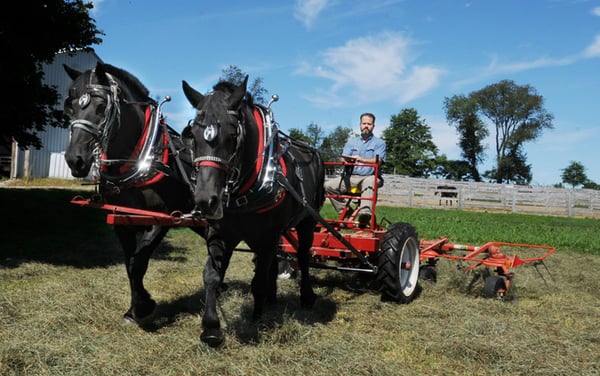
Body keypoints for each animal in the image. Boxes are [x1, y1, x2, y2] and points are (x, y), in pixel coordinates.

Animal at [64, 61, 202, 324]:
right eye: (70, 106)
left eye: (101, 106)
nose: (75, 160)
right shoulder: (122, 220)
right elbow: (130, 265)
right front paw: (133, 310)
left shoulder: (163, 218)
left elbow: (139, 263)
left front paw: (144, 307)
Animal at [182, 75, 326, 346]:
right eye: (193, 136)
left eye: (232, 136)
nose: (206, 200)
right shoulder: (221, 233)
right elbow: (212, 275)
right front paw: (211, 327)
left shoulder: (267, 236)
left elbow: (257, 280)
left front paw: (257, 317)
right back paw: (272, 296)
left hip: (307, 222)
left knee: (302, 255)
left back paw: (306, 296)